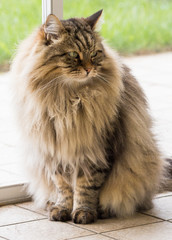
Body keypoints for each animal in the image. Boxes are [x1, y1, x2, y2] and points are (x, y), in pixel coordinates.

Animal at [11, 9, 171, 223]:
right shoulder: (55, 151)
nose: (89, 69)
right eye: (73, 54)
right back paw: (51, 204)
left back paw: (105, 210)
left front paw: (84, 212)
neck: (68, 100)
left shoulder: (97, 151)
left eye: (95, 53)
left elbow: (87, 187)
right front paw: (62, 209)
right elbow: (63, 187)